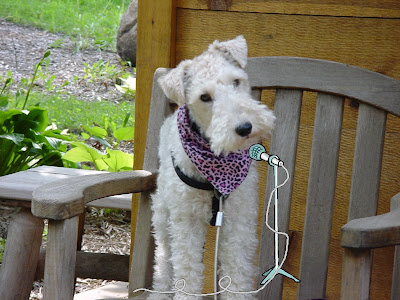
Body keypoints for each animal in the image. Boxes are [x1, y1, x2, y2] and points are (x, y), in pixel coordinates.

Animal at [148, 36, 276, 298]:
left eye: (236, 81)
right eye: (204, 97)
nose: (245, 127)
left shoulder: (238, 219)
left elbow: (236, 275)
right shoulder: (185, 222)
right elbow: (187, 274)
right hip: (164, 217)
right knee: (163, 262)